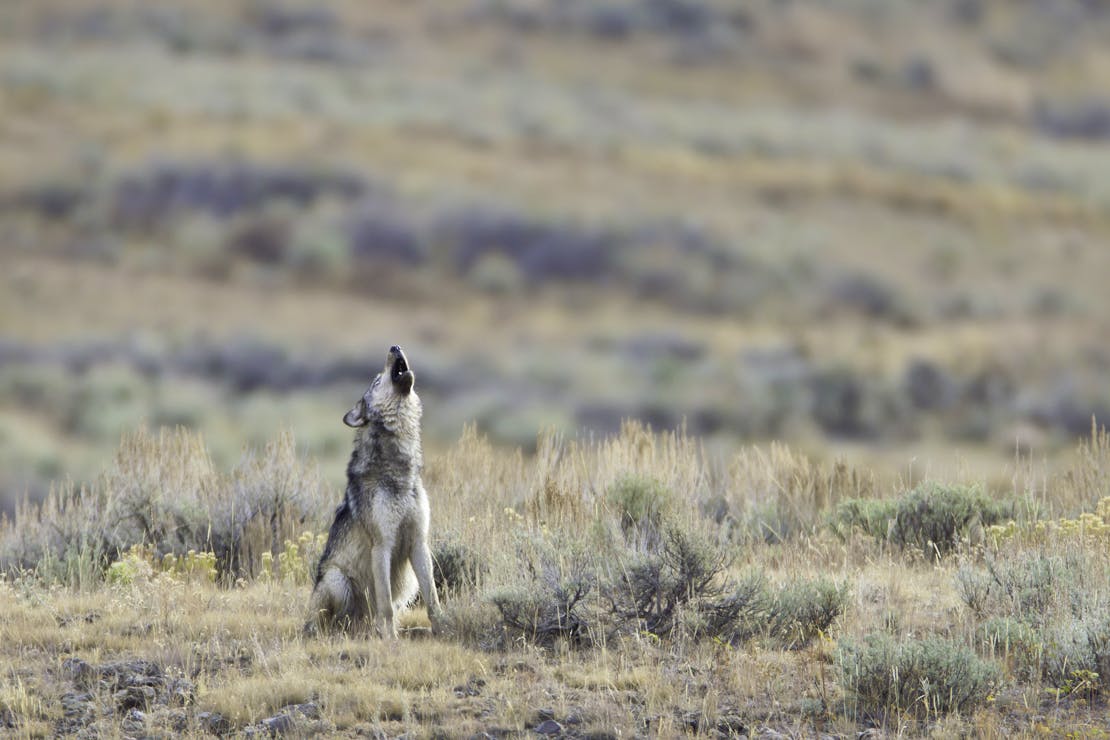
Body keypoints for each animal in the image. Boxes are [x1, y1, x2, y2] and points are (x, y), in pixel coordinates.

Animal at [306, 345, 440, 639]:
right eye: (377, 381)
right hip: (336, 579)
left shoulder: (419, 543)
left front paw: (446, 629)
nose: (395, 346)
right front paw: (390, 641)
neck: (399, 471)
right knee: (337, 623)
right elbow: (386, 606)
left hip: (408, 583)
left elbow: (433, 599)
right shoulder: (382, 545)